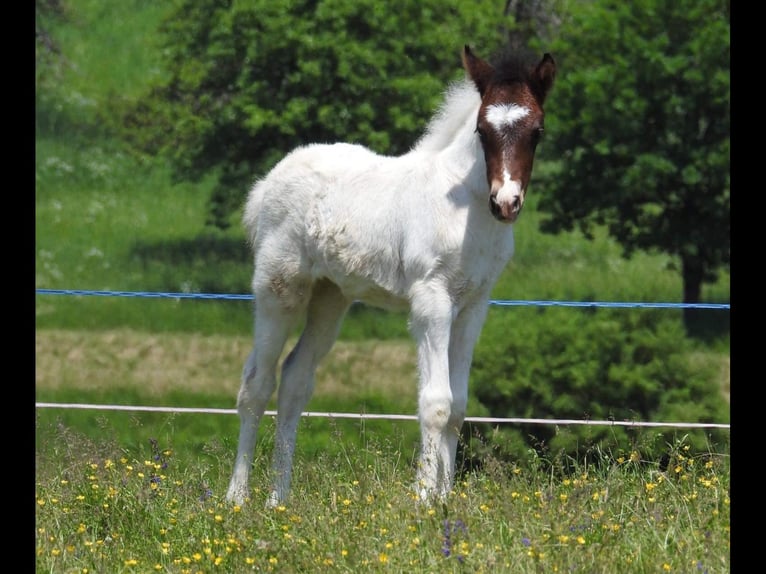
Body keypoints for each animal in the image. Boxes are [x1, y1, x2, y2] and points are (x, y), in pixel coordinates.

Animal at [226, 45, 556, 507]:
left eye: (536, 130)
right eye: (481, 130)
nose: (506, 202)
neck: (466, 208)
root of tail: (266, 184)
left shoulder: (474, 305)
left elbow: (458, 406)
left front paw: (445, 499)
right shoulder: (432, 300)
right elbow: (436, 402)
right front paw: (423, 500)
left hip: (330, 297)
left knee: (294, 381)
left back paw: (279, 499)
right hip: (280, 289)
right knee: (257, 384)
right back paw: (236, 499)